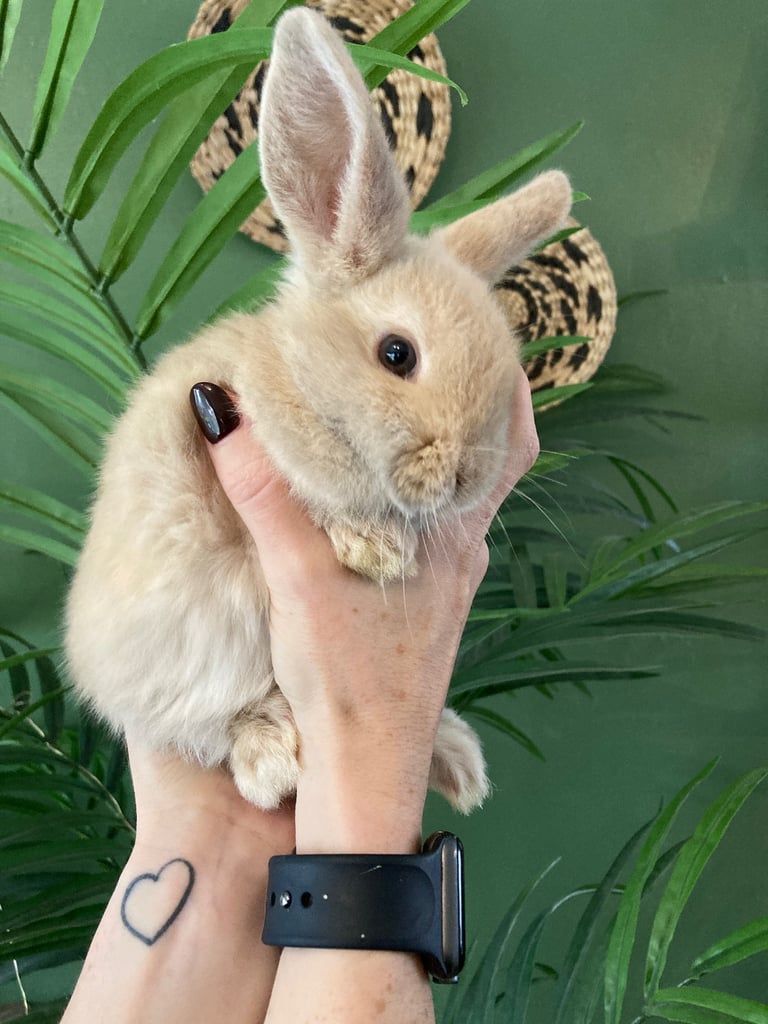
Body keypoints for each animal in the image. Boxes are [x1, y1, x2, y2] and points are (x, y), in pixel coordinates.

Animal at [65, 7, 572, 814]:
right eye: (397, 354)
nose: (465, 480)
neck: (299, 381)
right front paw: (378, 549)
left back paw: (457, 762)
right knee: (214, 722)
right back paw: (274, 761)